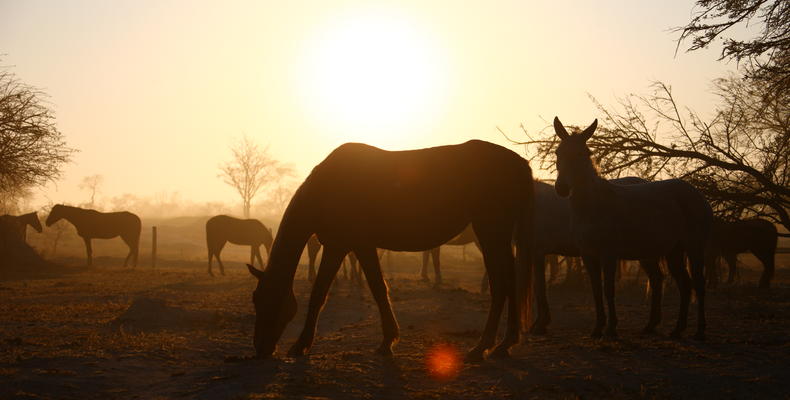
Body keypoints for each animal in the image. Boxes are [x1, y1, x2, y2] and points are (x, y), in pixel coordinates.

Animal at [244, 141, 536, 360]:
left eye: (265, 300)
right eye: (255, 299)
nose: (260, 349)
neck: (328, 187)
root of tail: (519, 164)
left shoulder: (340, 246)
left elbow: (320, 294)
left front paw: (301, 345)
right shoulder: (361, 246)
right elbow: (378, 288)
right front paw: (388, 341)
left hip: (490, 233)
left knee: (501, 283)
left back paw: (483, 346)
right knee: (509, 281)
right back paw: (504, 344)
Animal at [552, 117, 716, 340]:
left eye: (583, 154)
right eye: (558, 152)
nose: (562, 188)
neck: (593, 206)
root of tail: (697, 195)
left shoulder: (609, 253)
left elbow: (608, 288)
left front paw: (611, 329)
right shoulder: (588, 254)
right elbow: (595, 290)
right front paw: (597, 329)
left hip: (694, 247)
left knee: (698, 284)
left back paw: (699, 330)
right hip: (673, 251)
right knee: (682, 284)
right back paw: (672, 329)